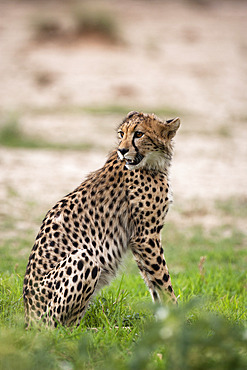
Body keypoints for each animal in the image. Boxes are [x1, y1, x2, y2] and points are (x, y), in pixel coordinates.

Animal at [23, 110, 180, 326]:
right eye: (121, 134)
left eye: (139, 134)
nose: (122, 150)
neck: (151, 162)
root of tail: (28, 315)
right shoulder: (146, 236)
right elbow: (163, 280)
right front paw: (178, 317)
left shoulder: (139, 239)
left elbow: (152, 283)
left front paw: (162, 320)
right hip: (84, 258)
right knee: (55, 326)